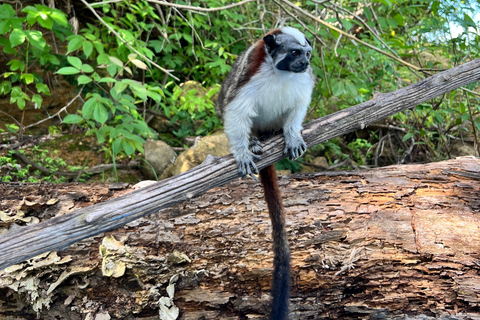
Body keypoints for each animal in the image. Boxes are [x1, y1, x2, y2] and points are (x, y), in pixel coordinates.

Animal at [217, 26, 316, 320]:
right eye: (294, 53)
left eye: (307, 54)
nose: (305, 63)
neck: (280, 72)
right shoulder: (250, 73)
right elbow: (233, 110)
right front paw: (242, 151)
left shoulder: (303, 80)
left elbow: (299, 105)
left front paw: (292, 135)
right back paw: (252, 141)